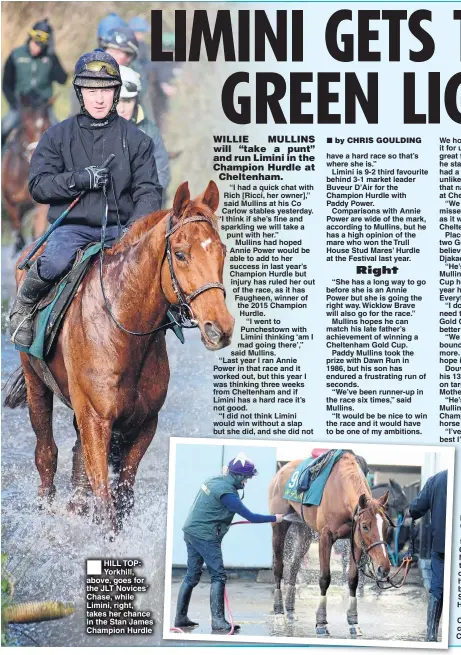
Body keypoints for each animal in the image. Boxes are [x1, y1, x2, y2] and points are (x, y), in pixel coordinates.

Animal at [1, 96, 51, 255]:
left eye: (47, 125)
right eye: (25, 125)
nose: (36, 153)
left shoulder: (41, 207)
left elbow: (38, 232)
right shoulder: (11, 203)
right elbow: (19, 236)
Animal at [6, 178, 237, 532]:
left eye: (222, 251)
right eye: (180, 254)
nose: (219, 328)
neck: (121, 327)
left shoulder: (143, 424)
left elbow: (123, 496)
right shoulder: (96, 421)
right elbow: (106, 505)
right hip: (37, 385)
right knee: (46, 454)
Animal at [268, 454, 390, 640]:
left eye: (386, 527)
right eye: (365, 526)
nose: (384, 568)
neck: (340, 490)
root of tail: (280, 471)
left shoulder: (355, 541)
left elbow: (353, 579)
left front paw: (353, 623)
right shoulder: (325, 538)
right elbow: (324, 579)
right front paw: (321, 623)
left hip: (304, 531)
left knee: (294, 566)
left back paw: (290, 611)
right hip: (279, 526)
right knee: (279, 567)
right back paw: (279, 613)